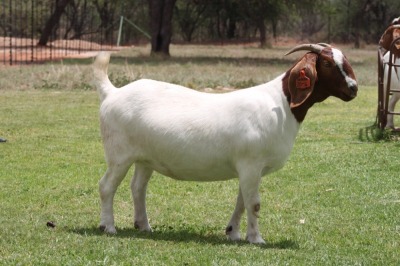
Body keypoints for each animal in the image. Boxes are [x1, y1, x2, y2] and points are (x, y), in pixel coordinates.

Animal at [94, 44, 360, 245]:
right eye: (327, 63)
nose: (353, 88)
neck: (282, 104)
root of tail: (112, 92)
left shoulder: (250, 169)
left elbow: (242, 202)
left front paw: (234, 233)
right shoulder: (251, 164)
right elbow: (254, 204)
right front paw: (256, 239)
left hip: (144, 158)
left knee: (138, 188)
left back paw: (144, 226)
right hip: (119, 155)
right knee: (106, 186)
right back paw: (108, 226)